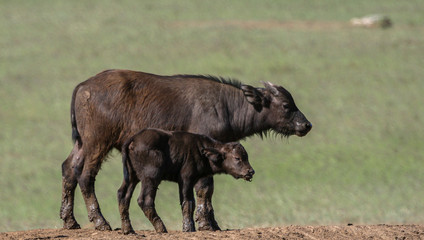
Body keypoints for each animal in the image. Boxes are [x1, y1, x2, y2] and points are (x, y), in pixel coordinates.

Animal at [117, 128, 255, 233]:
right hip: (151, 178)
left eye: (246, 157)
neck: (201, 151)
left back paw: (128, 230)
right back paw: (161, 228)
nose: (250, 171)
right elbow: (189, 202)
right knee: (145, 200)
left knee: (122, 195)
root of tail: (134, 139)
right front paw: (189, 229)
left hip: (131, 178)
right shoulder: (186, 179)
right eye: (237, 158)